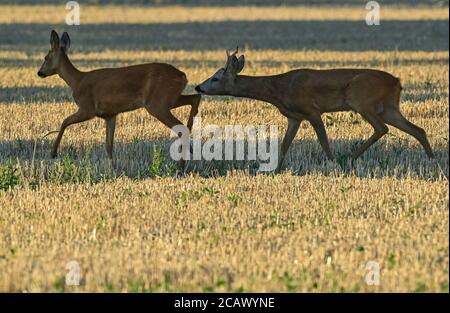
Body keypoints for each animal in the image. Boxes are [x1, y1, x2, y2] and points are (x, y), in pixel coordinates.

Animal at [38, 29, 200, 161]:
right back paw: (191, 142)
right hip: (168, 98)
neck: (77, 81)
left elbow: (64, 121)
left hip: (157, 103)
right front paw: (112, 168)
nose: (39, 73)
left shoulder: (87, 108)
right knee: (195, 98)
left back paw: (183, 160)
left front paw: (53, 153)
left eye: (46, 57)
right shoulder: (110, 114)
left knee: (182, 128)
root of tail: (183, 76)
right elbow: (109, 145)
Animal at [195, 47, 434, 172]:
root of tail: (397, 82)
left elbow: (323, 140)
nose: (198, 87)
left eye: (215, 78)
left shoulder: (312, 110)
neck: (278, 90)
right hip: (389, 107)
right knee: (417, 129)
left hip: (361, 99)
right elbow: (285, 144)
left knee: (382, 128)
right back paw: (431, 158)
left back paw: (350, 157)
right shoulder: (294, 117)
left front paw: (332, 162)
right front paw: (276, 168)